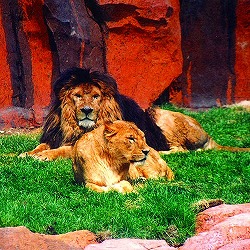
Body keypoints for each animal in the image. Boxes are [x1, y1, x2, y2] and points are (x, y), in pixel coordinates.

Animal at [21, 68, 248, 162]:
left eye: (95, 96)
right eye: (77, 96)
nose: (87, 111)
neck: (75, 126)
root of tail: (208, 135)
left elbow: (64, 150)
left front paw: (43, 156)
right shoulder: (55, 136)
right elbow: (41, 146)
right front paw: (25, 153)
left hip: (158, 115)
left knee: (181, 150)